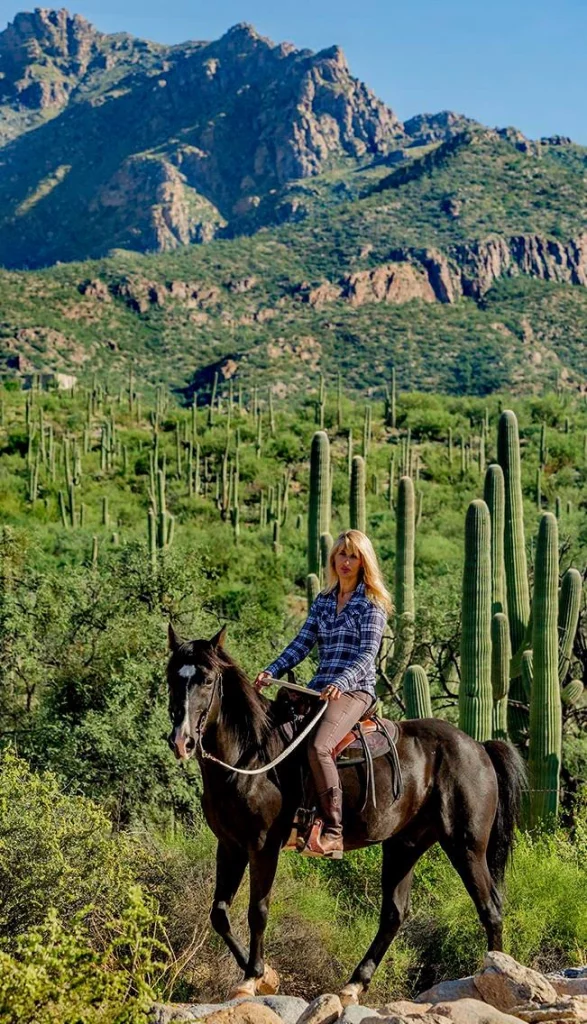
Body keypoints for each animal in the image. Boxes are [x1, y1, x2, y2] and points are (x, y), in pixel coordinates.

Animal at [165, 622, 524, 999]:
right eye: (172, 676)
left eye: (207, 680)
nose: (181, 741)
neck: (251, 756)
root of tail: (478, 746)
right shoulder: (231, 846)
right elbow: (219, 913)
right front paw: (266, 976)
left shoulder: (263, 847)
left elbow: (257, 911)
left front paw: (253, 977)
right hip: (404, 846)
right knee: (394, 914)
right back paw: (354, 984)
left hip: (466, 846)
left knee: (490, 909)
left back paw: (497, 973)